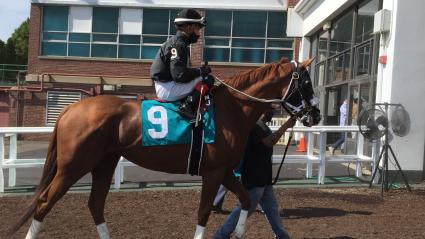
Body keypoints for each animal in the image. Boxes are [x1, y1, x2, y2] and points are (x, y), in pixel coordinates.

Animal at [9, 58, 318, 239]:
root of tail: (70, 109)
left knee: (95, 204)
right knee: (44, 203)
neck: (232, 108)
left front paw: (240, 231)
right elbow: (204, 212)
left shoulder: (225, 171)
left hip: (104, 163)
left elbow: (245, 199)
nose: (315, 115)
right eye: (305, 82)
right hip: (73, 167)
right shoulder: (213, 173)